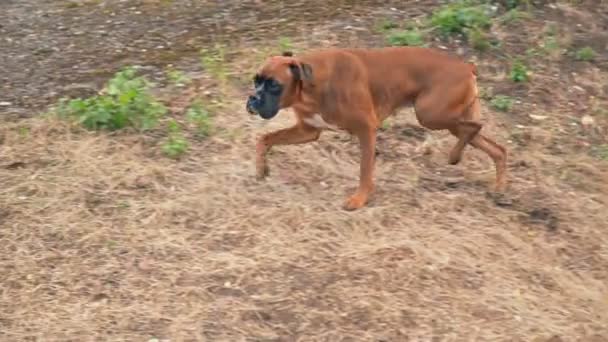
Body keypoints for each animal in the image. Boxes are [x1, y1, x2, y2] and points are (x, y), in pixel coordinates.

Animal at [245, 46, 506, 210]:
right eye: (256, 80)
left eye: (274, 85)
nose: (253, 98)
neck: (312, 86)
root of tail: (467, 66)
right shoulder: (308, 131)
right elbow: (264, 138)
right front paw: (261, 168)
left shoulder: (366, 130)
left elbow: (364, 169)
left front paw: (359, 199)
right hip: (441, 117)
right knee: (497, 148)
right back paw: (497, 189)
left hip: (429, 114)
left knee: (475, 126)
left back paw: (454, 156)